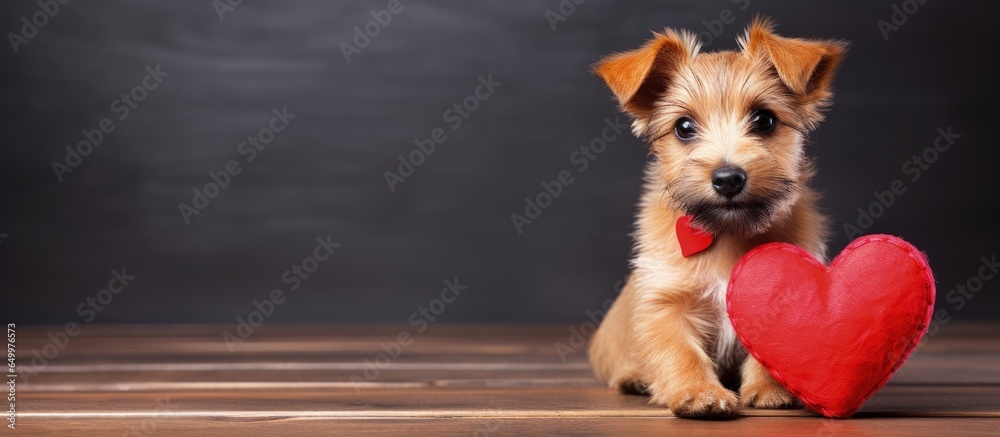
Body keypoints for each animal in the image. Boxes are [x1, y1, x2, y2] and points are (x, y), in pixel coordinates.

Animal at [584, 18, 844, 418]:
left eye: (764, 120)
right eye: (684, 127)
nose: (727, 178)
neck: (727, 232)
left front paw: (770, 389)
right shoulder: (665, 301)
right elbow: (679, 351)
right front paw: (698, 392)